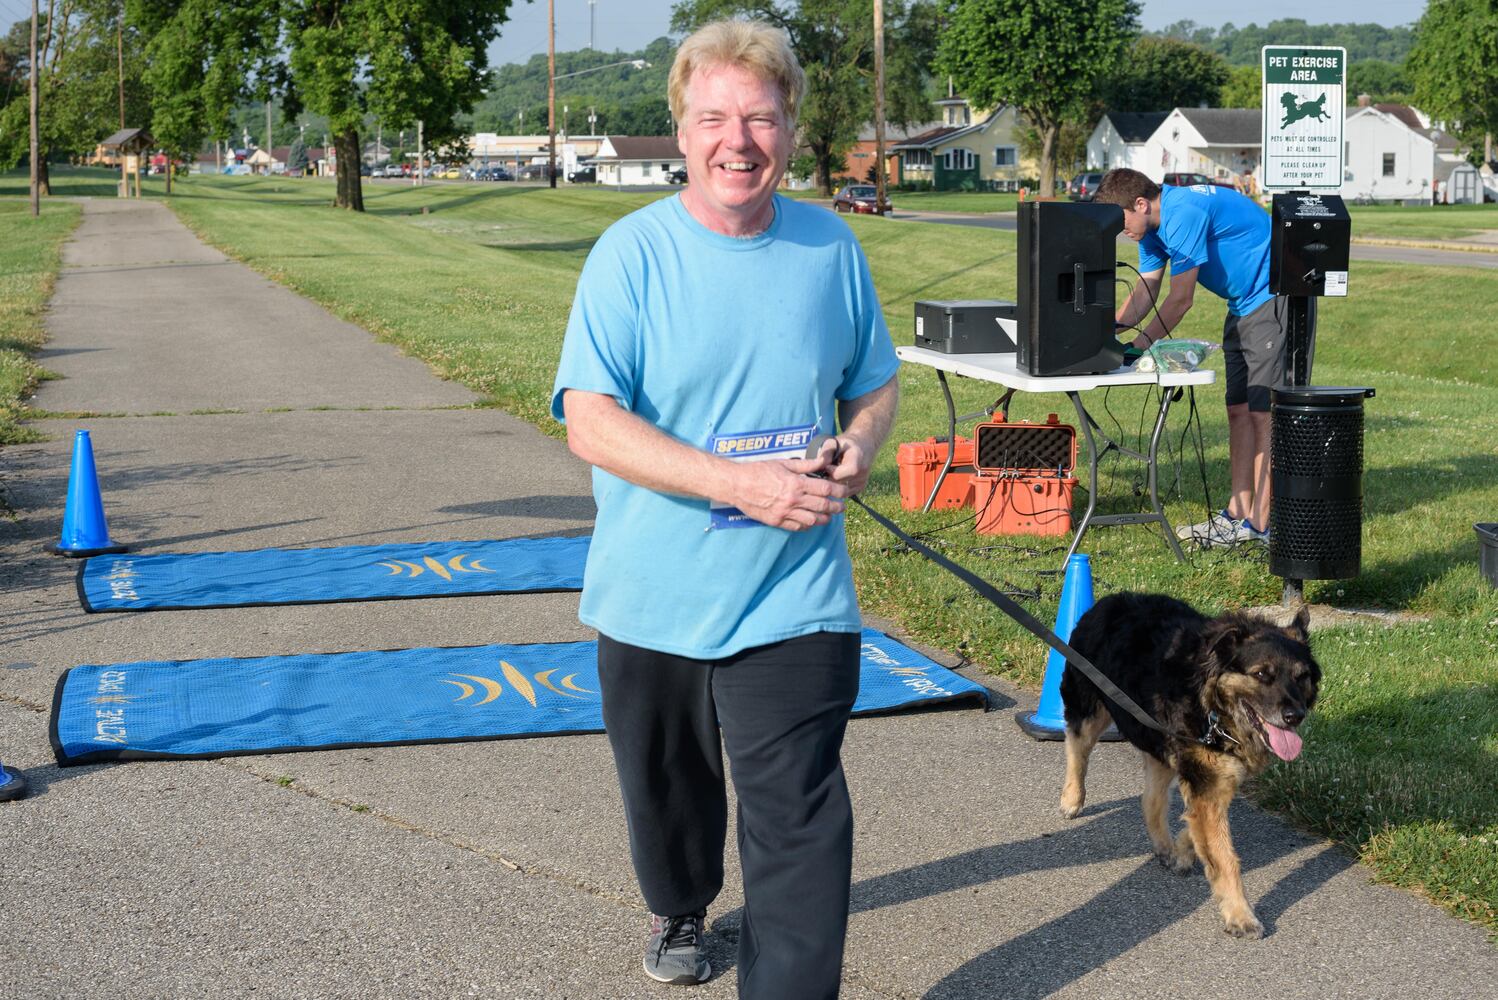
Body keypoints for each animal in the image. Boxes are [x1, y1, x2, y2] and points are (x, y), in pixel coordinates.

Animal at [1060, 592, 1318, 940]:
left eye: (1302, 676)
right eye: (1262, 675)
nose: (1295, 716)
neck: (1212, 702)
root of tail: (1110, 599)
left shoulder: (1211, 783)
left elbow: (1199, 830)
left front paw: (1184, 848)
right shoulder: (1207, 784)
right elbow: (1226, 857)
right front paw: (1240, 914)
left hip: (1158, 741)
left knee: (1151, 800)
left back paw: (1165, 846)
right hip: (1089, 708)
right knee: (1077, 747)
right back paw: (1072, 798)